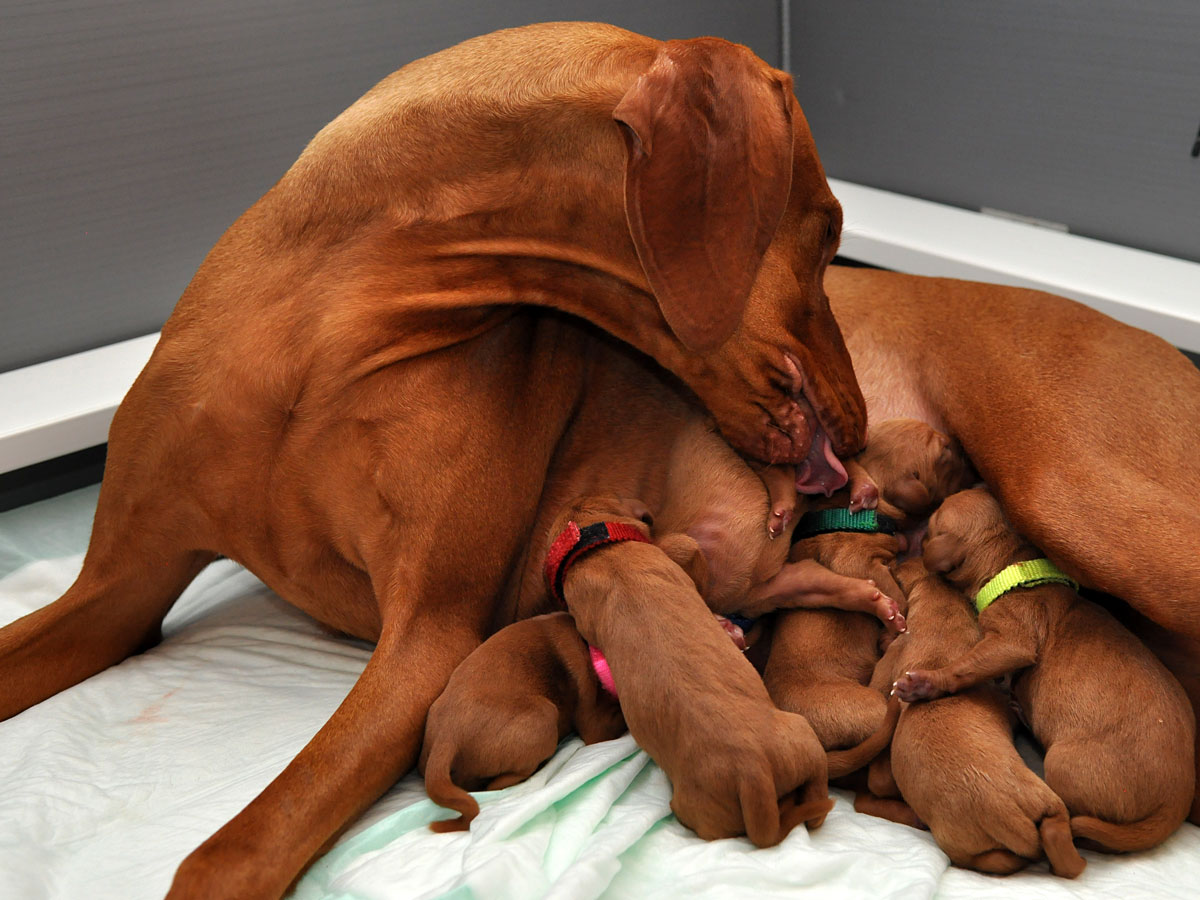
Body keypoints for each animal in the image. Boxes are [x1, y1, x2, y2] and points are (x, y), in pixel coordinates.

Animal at [768, 420, 974, 748]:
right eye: (944, 452)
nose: (968, 452)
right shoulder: (856, 563)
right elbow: (892, 594)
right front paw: (893, 624)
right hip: (873, 707)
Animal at [897, 489, 1195, 854]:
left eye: (929, 529)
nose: (908, 537)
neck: (1014, 570)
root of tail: (1176, 805)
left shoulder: (1012, 642)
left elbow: (962, 668)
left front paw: (925, 684)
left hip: (1062, 765)